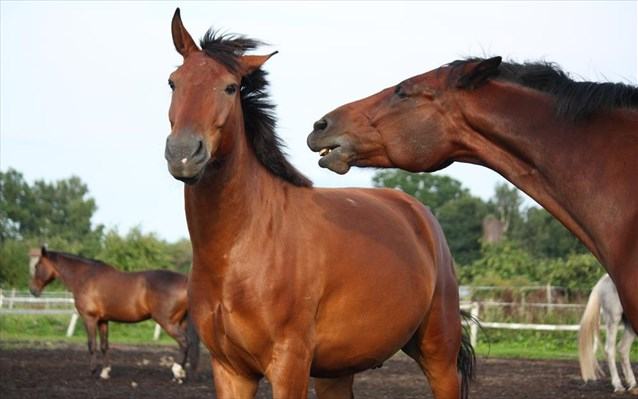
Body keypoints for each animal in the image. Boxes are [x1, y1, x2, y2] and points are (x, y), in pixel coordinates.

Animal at [28, 247, 200, 382]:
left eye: (37, 266)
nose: (33, 290)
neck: (85, 277)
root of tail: (185, 282)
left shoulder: (89, 319)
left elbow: (91, 344)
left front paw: (92, 371)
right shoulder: (103, 321)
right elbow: (104, 345)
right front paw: (105, 372)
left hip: (167, 322)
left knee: (184, 342)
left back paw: (177, 373)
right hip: (180, 322)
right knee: (185, 344)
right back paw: (181, 373)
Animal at [164, 7, 476, 398]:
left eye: (230, 87)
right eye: (173, 82)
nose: (183, 154)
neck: (238, 248)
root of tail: (419, 214)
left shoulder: (289, 365)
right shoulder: (230, 371)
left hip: (439, 356)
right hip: (336, 372)